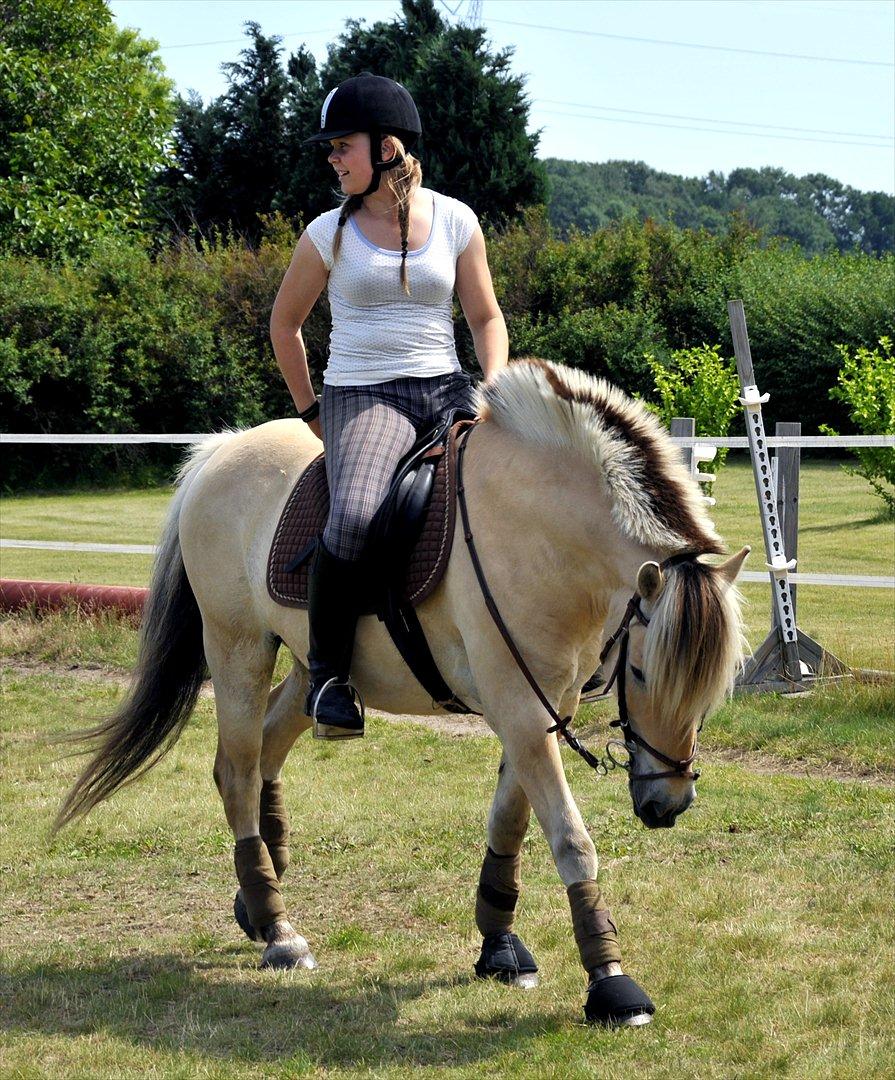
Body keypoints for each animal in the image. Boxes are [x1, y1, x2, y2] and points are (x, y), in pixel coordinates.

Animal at [55, 358, 747, 1023]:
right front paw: (611, 982)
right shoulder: (522, 710)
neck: (538, 529)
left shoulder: (540, 708)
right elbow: (571, 840)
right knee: (238, 772)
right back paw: (278, 929)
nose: (669, 805)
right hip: (237, 648)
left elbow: (510, 822)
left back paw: (257, 902)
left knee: (268, 752)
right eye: (643, 674)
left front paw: (499, 946)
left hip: (310, 668)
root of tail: (221, 451)